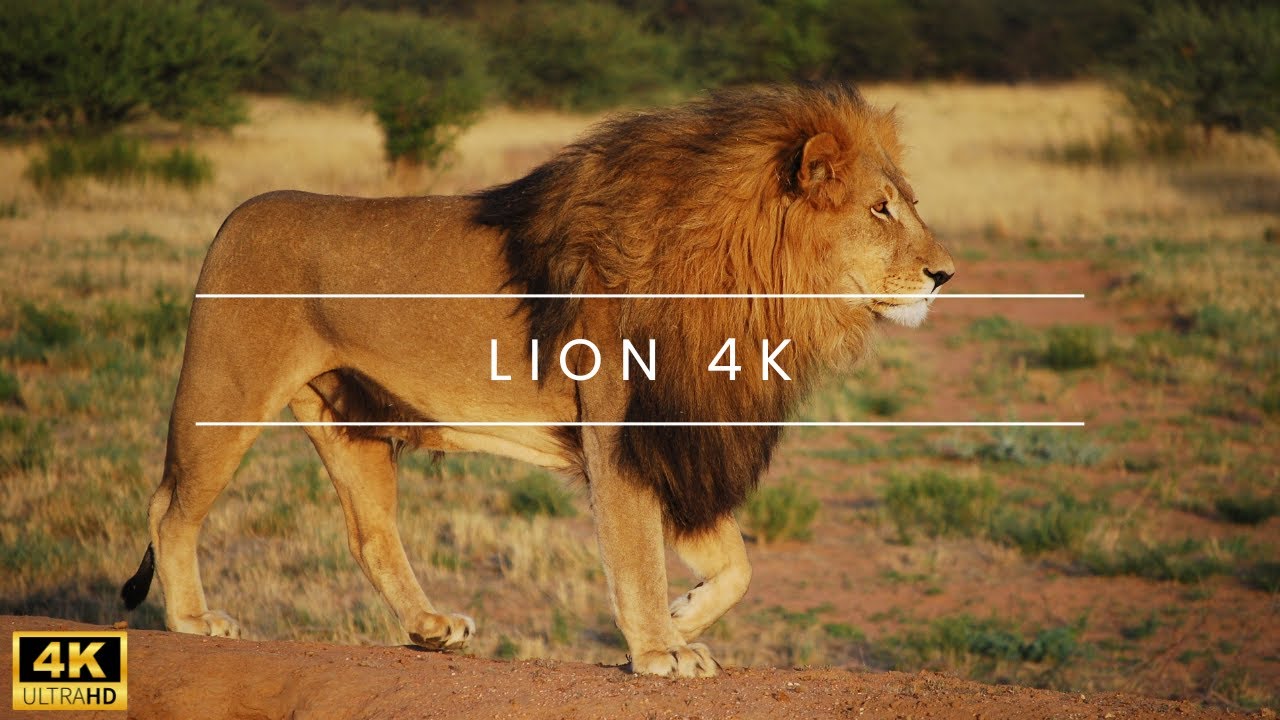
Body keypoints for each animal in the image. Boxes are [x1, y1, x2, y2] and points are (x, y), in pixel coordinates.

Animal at [120, 84, 954, 678]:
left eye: (908, 204)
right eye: (880, 210)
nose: (946, 274)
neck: (757, 289)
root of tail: (235, 215)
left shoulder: (680, 434)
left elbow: (737, 565)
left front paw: (682, 618)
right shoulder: (625, 433)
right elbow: (637, 552)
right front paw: (659, 650)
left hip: (349, 418)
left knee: (370, 535)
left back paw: (431, 629)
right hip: (225, 394)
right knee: (170, 507)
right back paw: (194, 620)